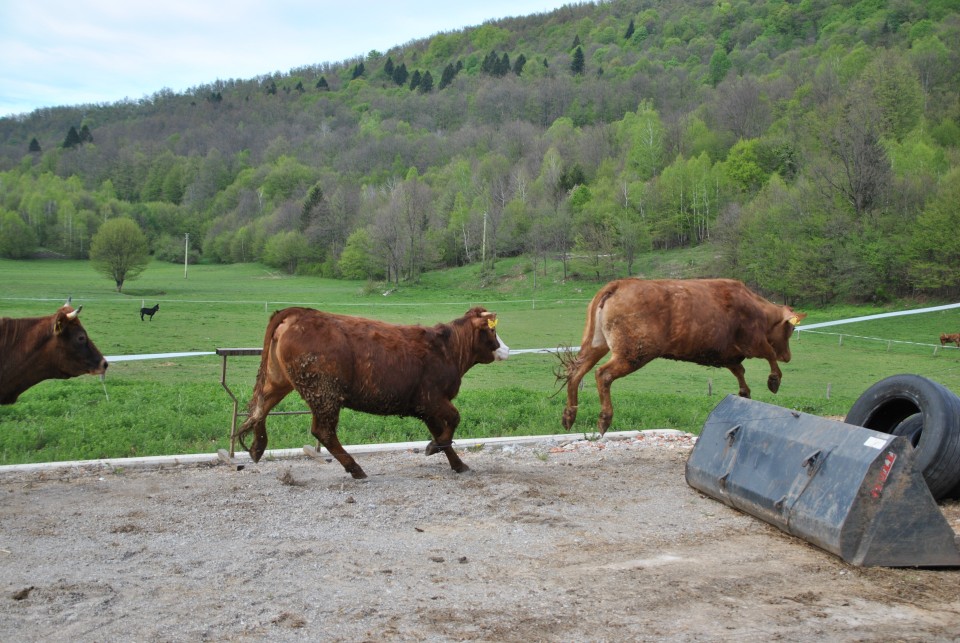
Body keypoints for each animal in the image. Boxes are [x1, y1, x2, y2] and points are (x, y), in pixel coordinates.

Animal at [235, 306, 510, 478]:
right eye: (493, 330)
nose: (506, 350)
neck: (446, 349)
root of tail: (298, 314)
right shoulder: (432, 400)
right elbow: (453, 420)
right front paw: (434, 448)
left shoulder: (427, 409)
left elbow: (443, 434)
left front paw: (456, 463)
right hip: (325, 394)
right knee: (323, 431)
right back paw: (355, 468)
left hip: (280, 382)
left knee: (260, 409)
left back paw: (257, 447)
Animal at [560, 280, 808, 436]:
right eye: (790, 329)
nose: (788, 356)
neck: (758, 309)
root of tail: (620, 283)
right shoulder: (753, 342)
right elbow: (769, 355)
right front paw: (774, 381)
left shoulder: (728, 356)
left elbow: (740, 372)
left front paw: (744, 394)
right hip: (634, 353)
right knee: (603, 374)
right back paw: (604, 418)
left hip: (596, 344)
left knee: (576, 372)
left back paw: (569, 415)